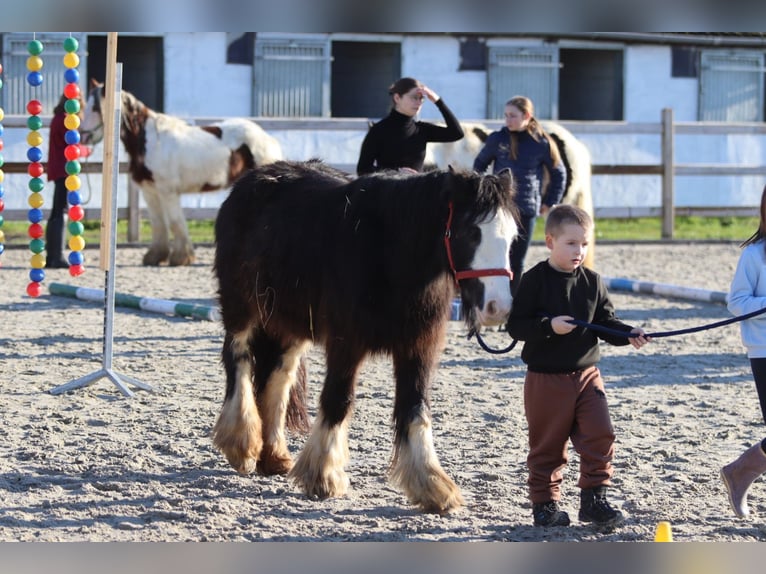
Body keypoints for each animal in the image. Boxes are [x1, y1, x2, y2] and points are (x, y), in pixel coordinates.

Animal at [80, 81, 282, 268]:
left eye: (96, 108)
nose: (83, 136)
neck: (150, 141)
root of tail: (269, 139)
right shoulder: (150, 192)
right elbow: (158, 224)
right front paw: (155, 257)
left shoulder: (168, 192)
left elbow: (175, 223)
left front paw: (181, 258)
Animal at [213, 160, 520, 516]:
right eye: (472, 232)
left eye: (512, 237)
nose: (498, 308)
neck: (389, 250)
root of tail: (251, 179)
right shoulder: (346, 342)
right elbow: (338, 400)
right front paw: (323, 475)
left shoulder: (419, 347)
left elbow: (416, 408)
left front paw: (431, 485)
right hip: (242, 309)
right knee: (238, 359)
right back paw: (242, 442)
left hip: (290, 325)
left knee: (279, 378)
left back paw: (274, 455)